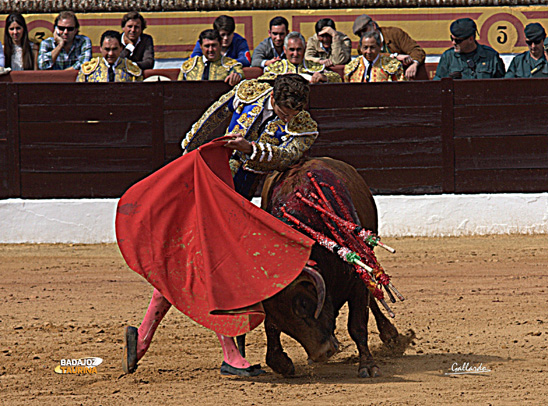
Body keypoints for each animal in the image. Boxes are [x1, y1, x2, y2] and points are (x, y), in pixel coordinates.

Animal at [256, 158, 398, 378]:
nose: (322, 353)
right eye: (278, 316)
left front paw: (368, 366)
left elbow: (357, 324)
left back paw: (391, 335)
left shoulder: (356, 281)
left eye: (304, 304)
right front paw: (280, 363)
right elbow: (270, 327)